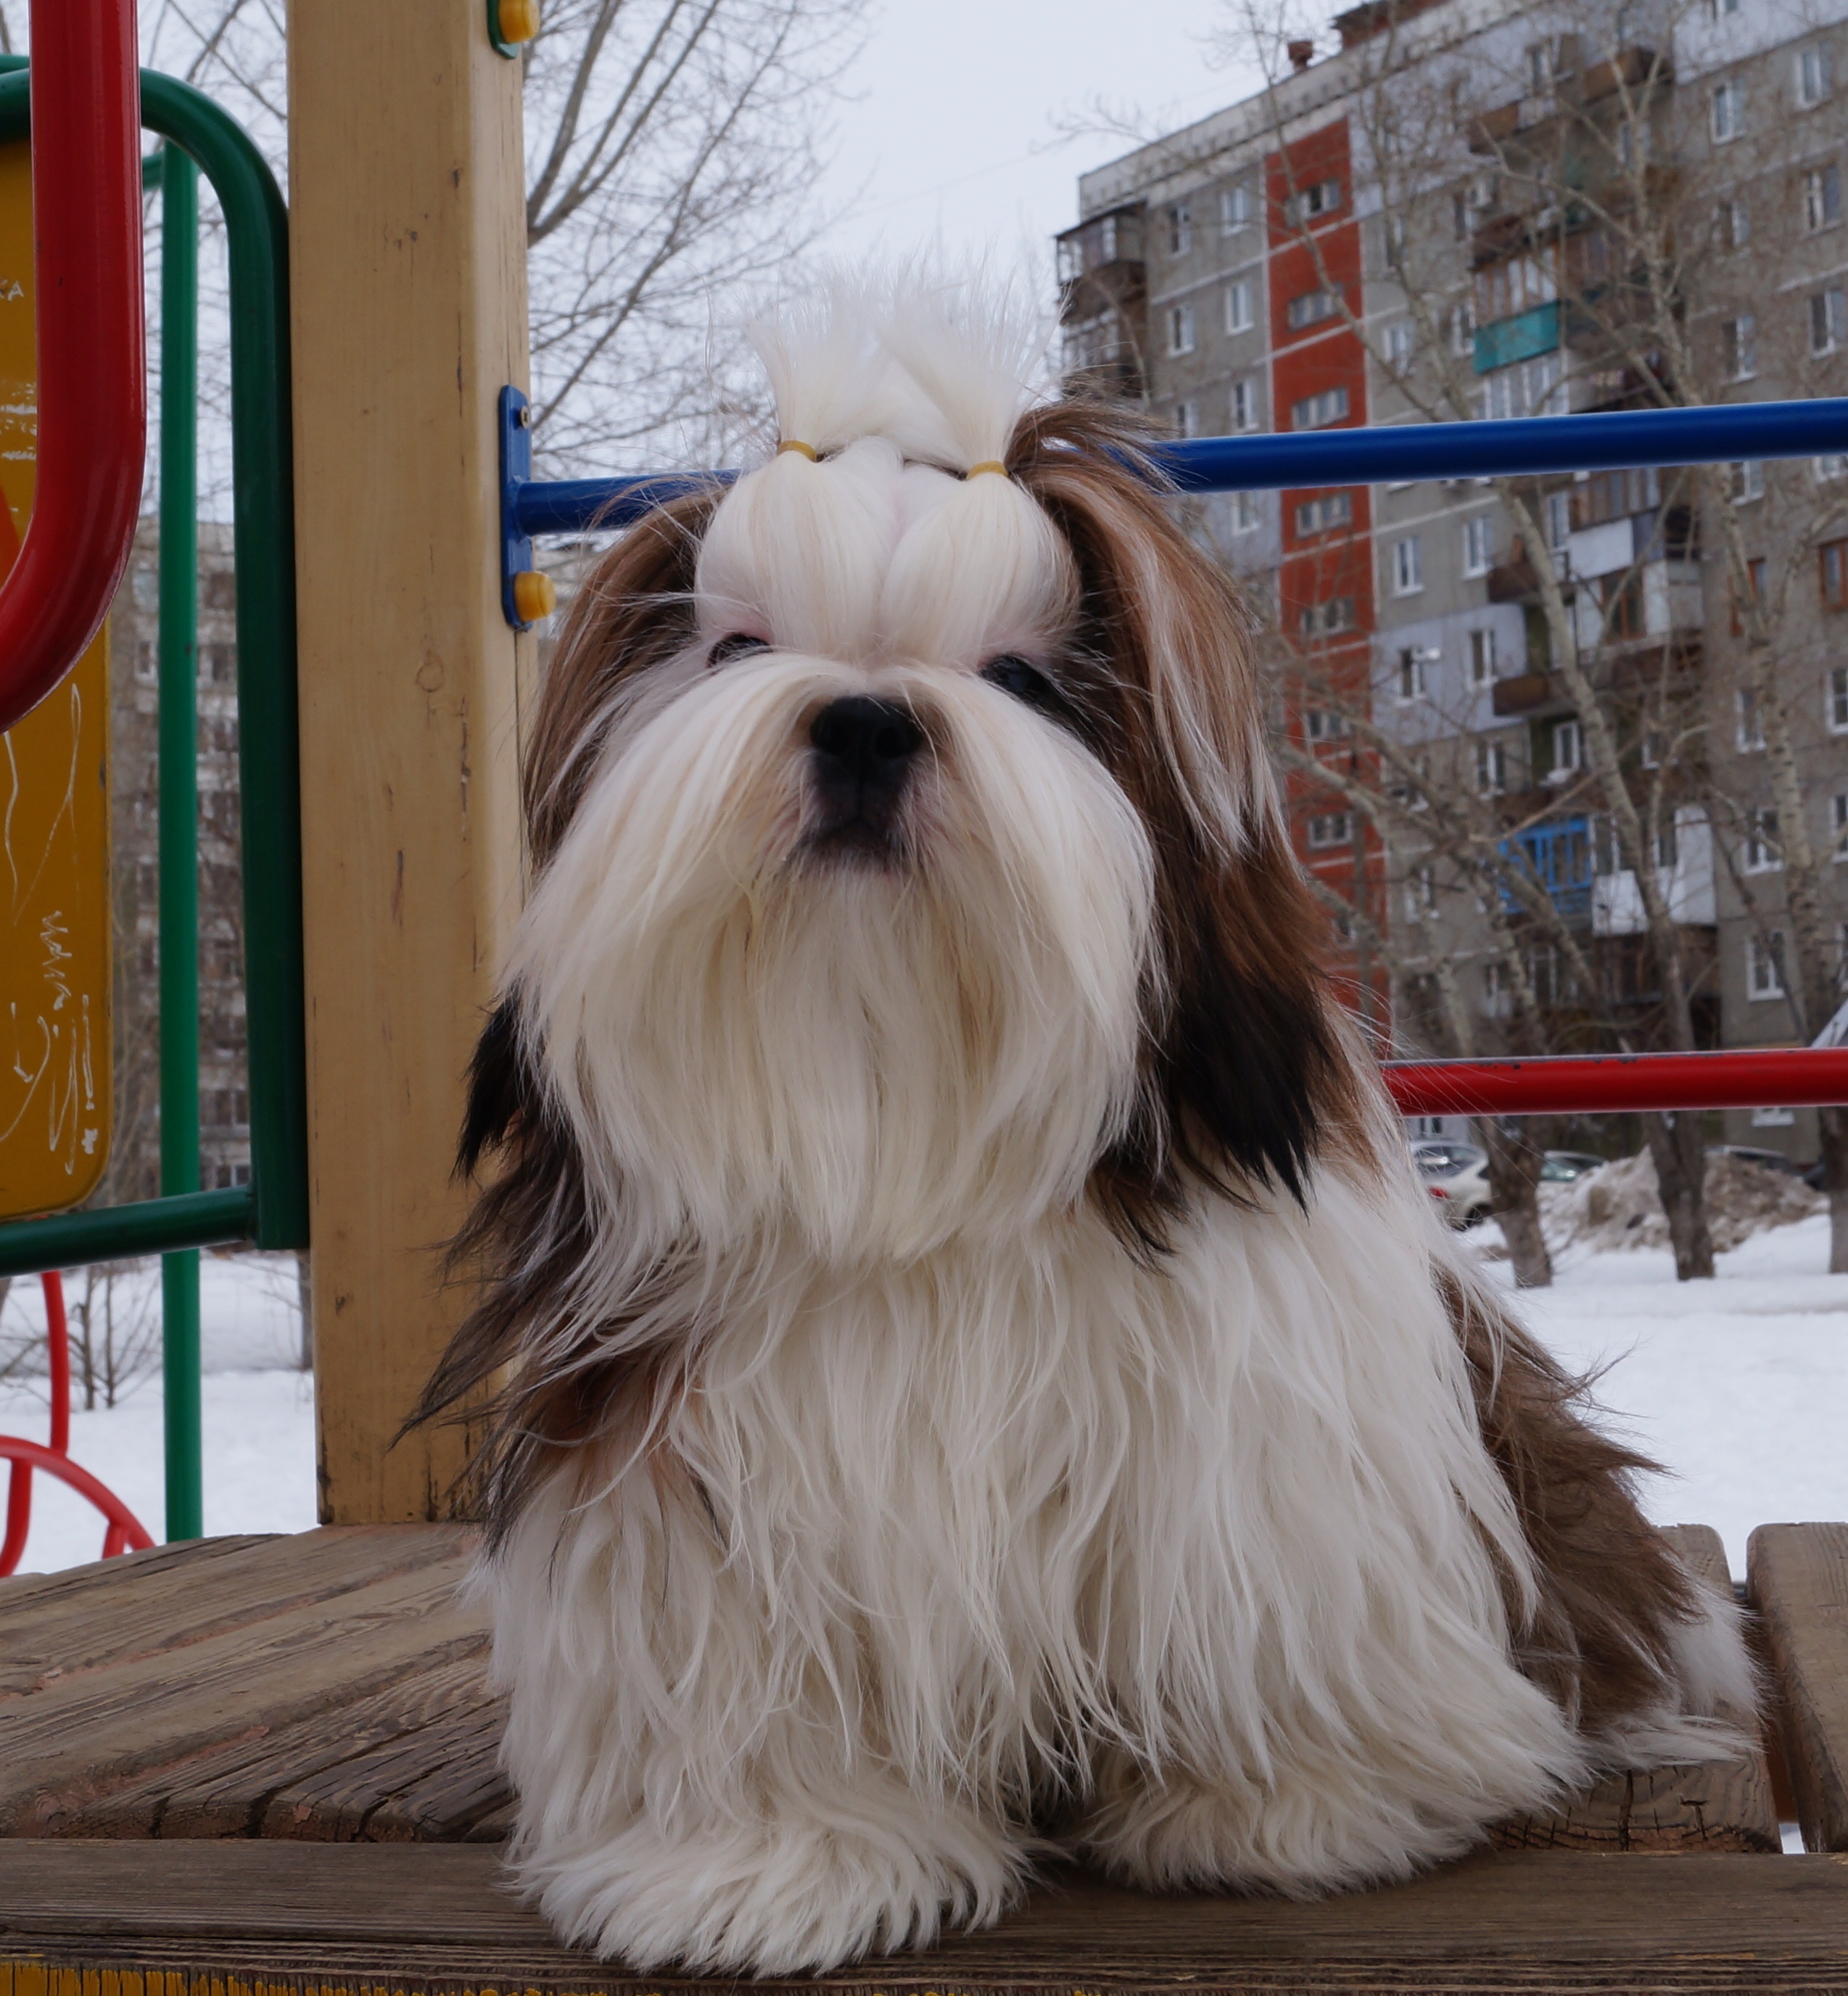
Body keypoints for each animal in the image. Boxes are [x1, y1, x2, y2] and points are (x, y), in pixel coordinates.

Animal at [419, 287, 1756, 1975]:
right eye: (734, 648)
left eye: (1026, 680)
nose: (863, 721)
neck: (901, 1152)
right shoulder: (679, 1484)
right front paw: (770, 1855)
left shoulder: (1257, 1454)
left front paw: (1290, 1802)